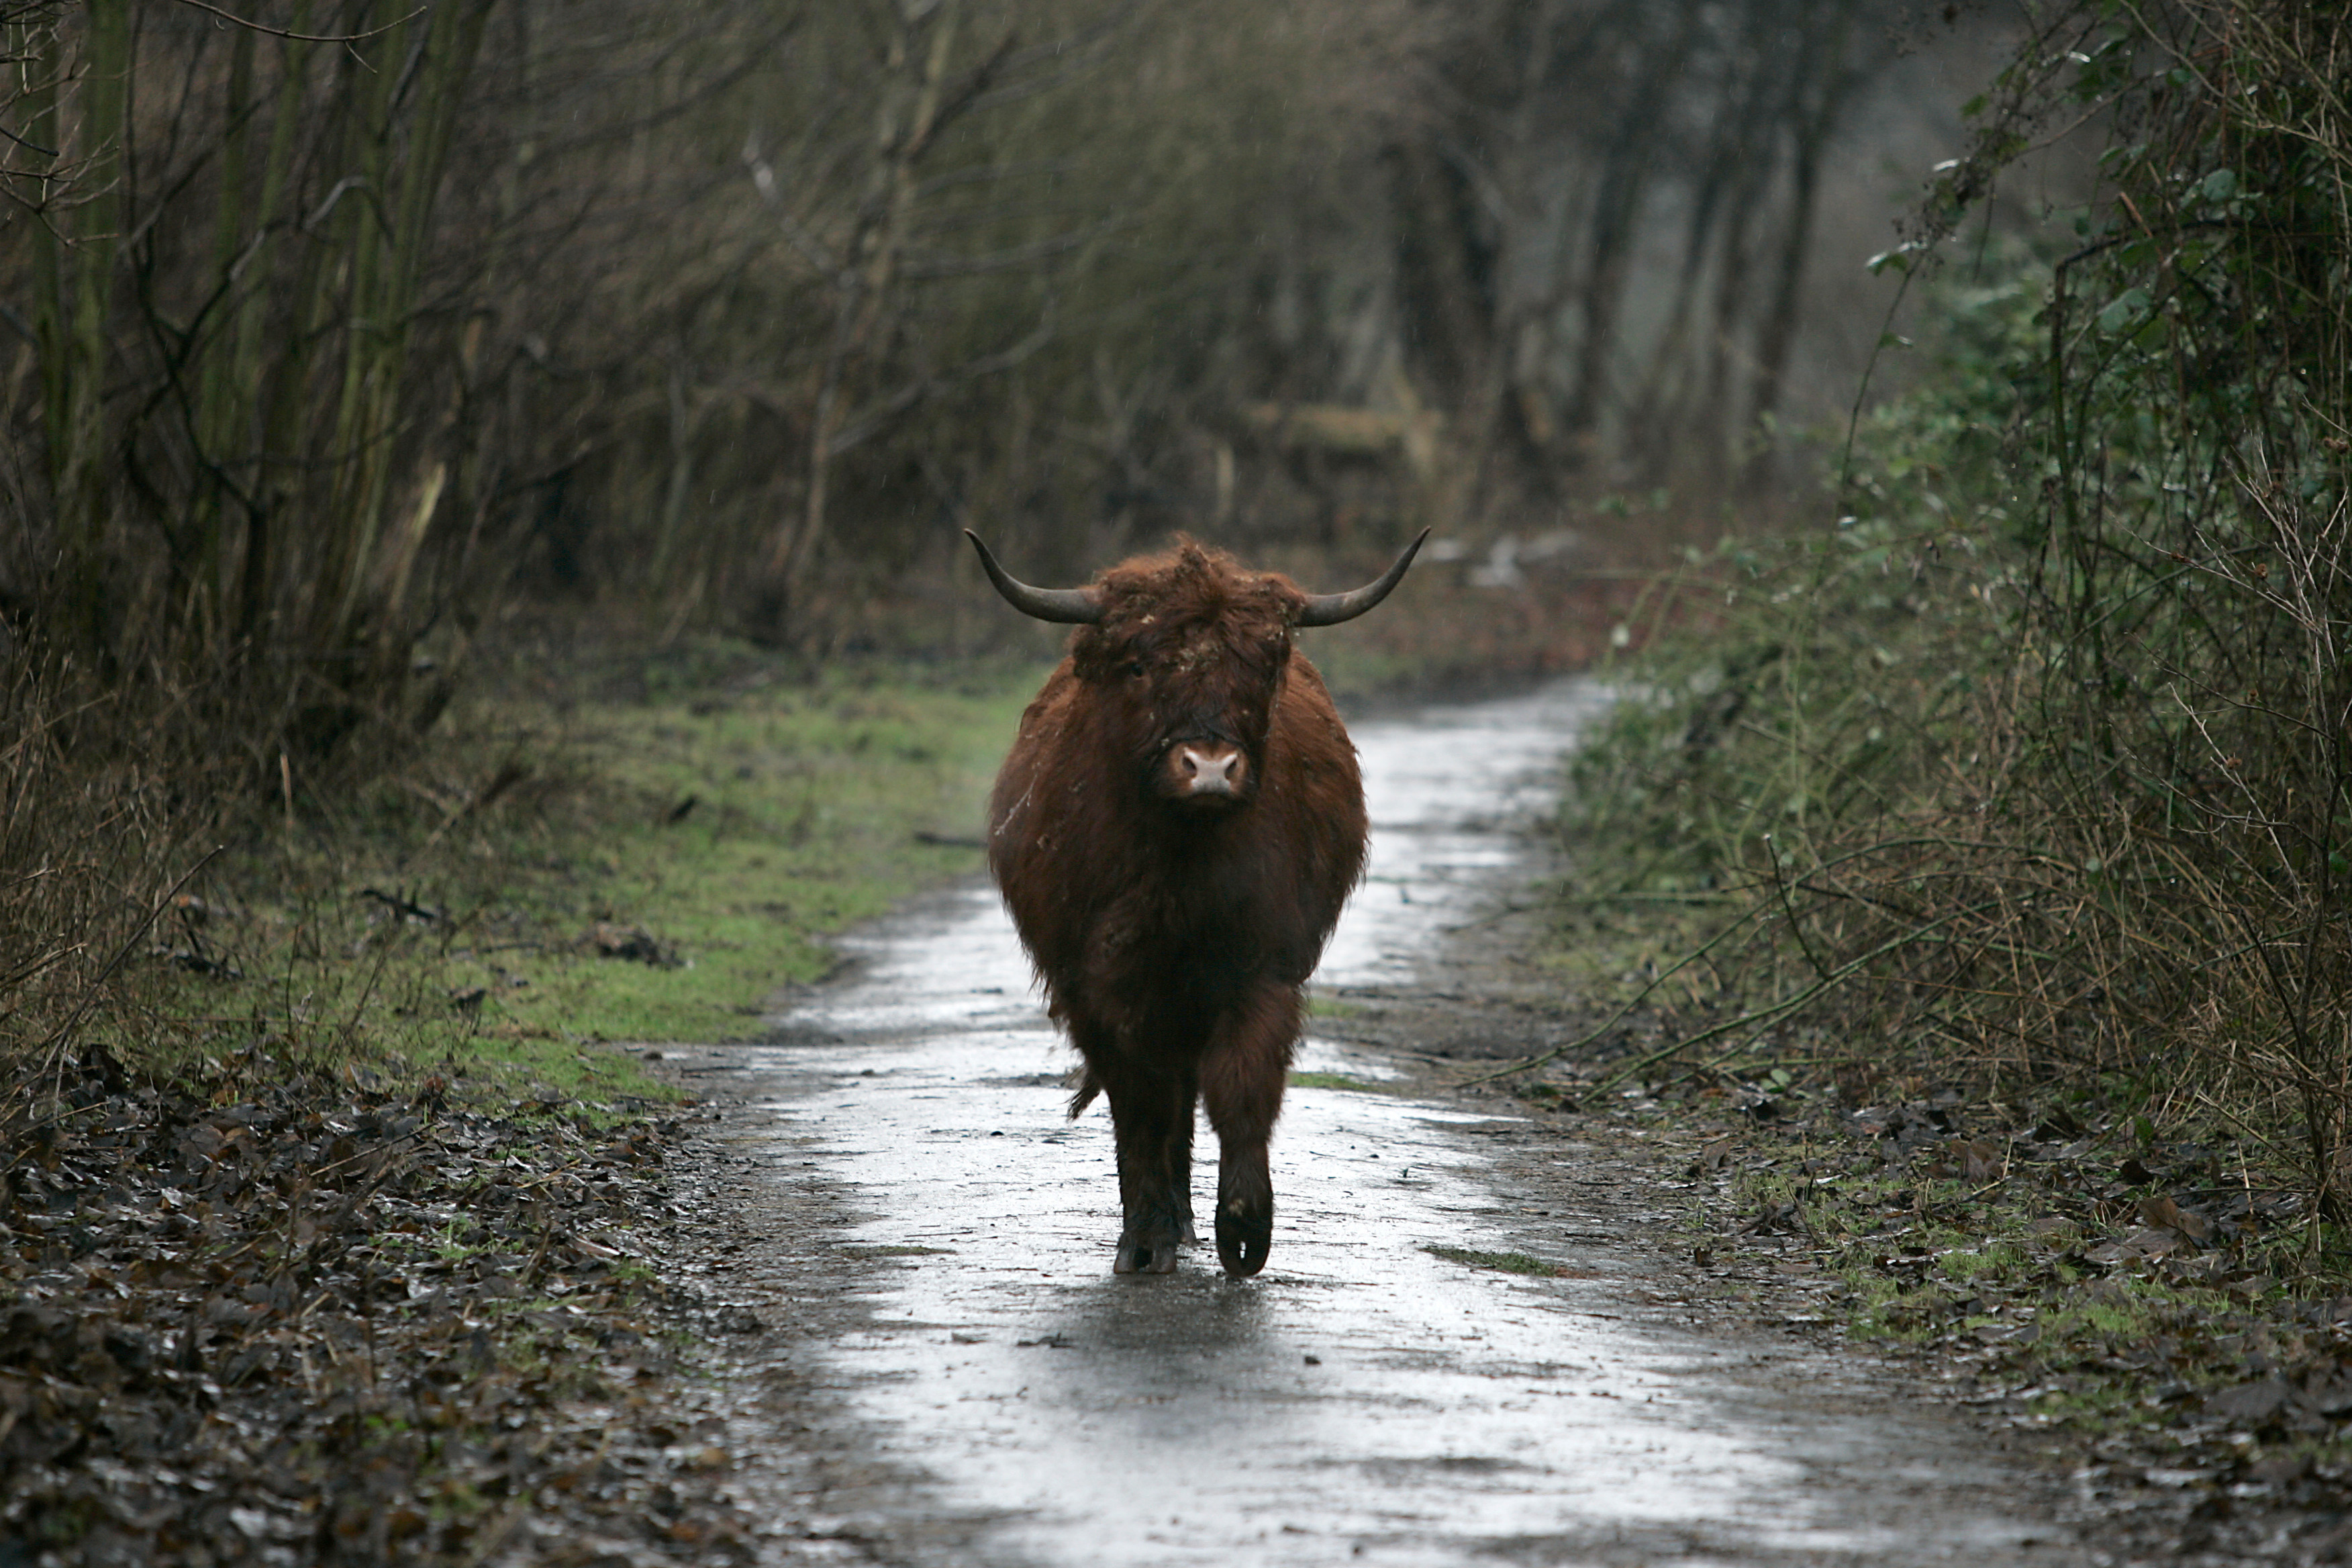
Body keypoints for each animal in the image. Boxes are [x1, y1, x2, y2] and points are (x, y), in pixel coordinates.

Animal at [964, 526, 1420, 1279]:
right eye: (1139, 665)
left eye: (1262, 667)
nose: (1209, 767)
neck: (1180, 872)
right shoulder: (1103, 988)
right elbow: (1141, 1103)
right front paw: (1146, 1237)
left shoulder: (1262, 969)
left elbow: (1241, 1088)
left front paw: (1244, 1225)